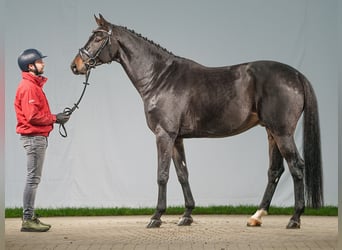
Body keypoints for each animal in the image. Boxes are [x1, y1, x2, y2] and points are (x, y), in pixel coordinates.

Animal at [71, 13, 322, 229]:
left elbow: (162, 175)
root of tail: (296, 75)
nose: (76, 66)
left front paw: (156, 217)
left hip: (282, 132)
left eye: (98, 37)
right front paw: (187, 215)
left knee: (296, 167)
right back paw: (256, 216)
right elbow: (183, 174)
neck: (160, 78)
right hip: (272, 132)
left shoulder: (164, 135)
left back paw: (295, 219)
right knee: (275, 170)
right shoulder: (177, 138)